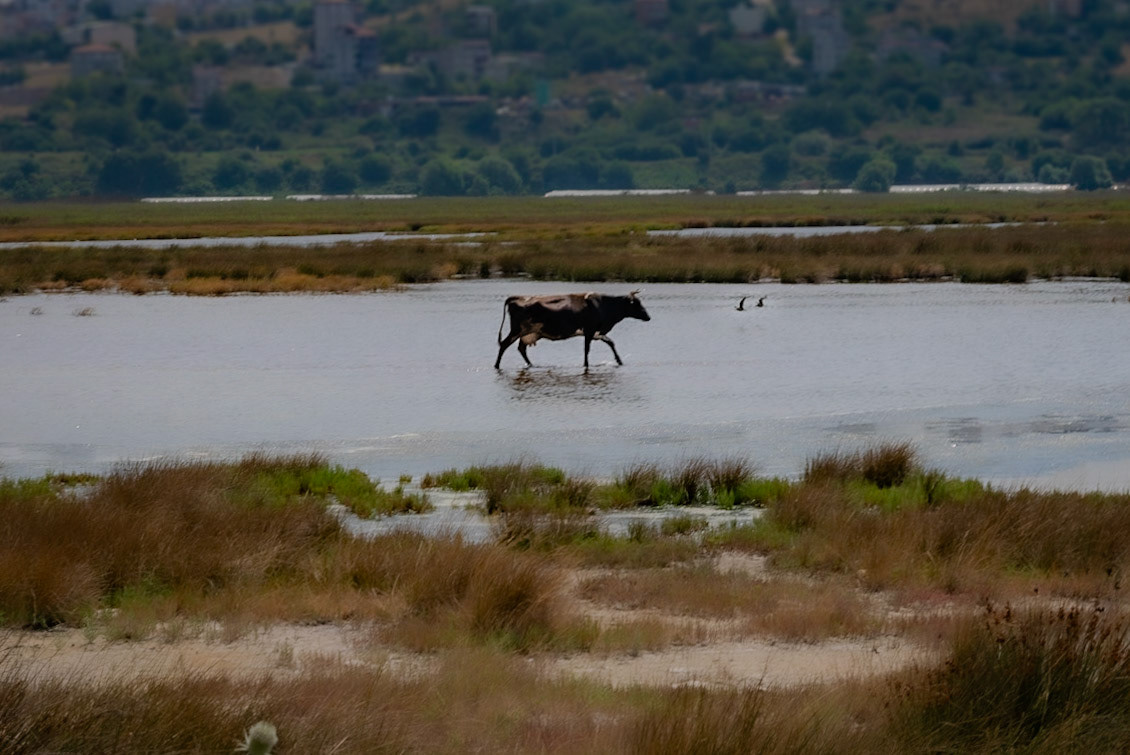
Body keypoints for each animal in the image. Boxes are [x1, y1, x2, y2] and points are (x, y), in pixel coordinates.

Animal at [495, 291, 651, 369]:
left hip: (529, 333)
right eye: (636, 304)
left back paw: (532, 365)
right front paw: (586, 365)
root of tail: (515, 298)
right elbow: (587, 349)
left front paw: (619, 361)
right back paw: (497, 365)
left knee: (521, 348)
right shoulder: (589, 330)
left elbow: (610, 342)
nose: (648, 317)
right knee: (504, 345)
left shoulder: (596, 332)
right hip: (517, 330)